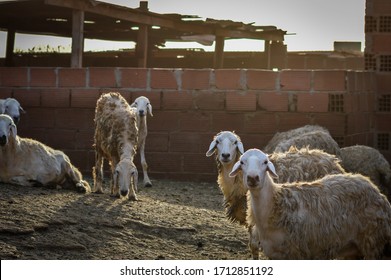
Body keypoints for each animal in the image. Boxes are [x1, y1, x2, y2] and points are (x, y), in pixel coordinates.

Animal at [230, 149, 391, 260]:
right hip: (353, 248)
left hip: (373, 241)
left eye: (265, 162)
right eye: (242, 162)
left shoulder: (296, 251)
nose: (253, 178)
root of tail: (374, 189)